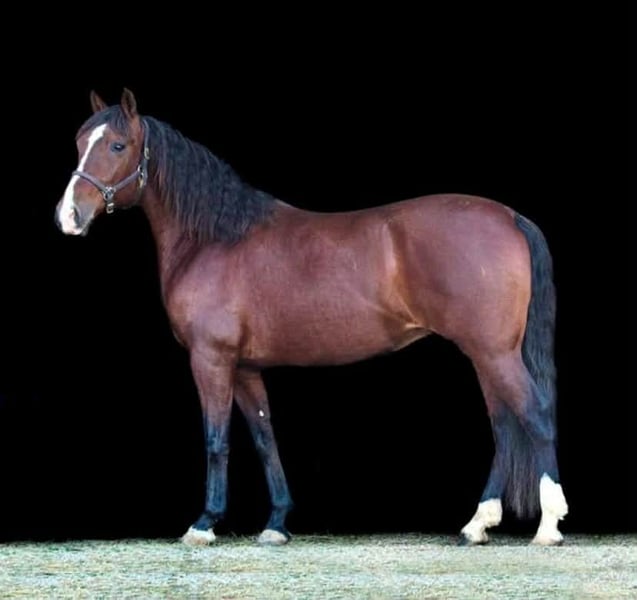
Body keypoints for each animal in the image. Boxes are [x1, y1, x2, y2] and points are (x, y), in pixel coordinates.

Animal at [55, 88, 568, 547]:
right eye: (80, 142)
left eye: (117, 145)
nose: (69, 216)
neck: (216, 240)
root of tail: (509, 217)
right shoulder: (245, 366)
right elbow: (265, 438)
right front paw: (277, 523)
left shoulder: (211, 360)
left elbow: (216, 439)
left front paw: (204, 524)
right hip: (485, 354)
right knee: (504, 425)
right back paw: (477, 525)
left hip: (494, 352)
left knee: (535, 415)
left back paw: (547, 527)